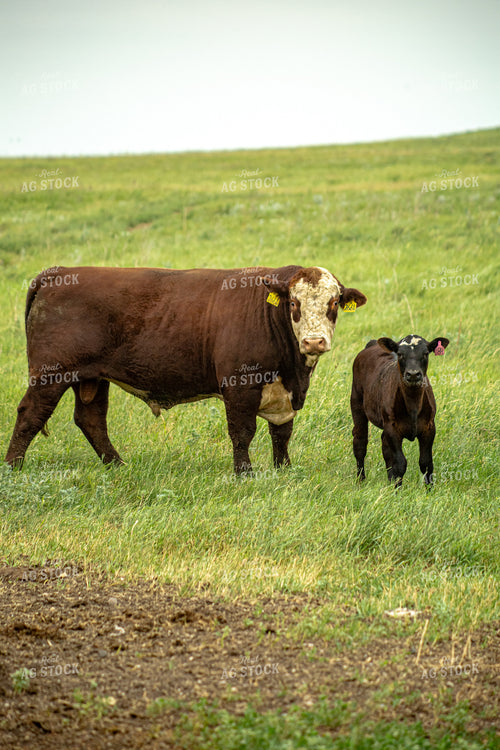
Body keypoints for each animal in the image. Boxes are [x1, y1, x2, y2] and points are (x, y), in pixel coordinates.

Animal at [6, 265, 367, 474]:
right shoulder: (240, 384)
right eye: (294, 303)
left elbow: (282, 433)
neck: (294, 370)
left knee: (91, 420)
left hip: (91, 377)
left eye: (334, 303)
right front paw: (245, 473)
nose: (314, 341)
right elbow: (242, 432)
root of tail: (57, 271)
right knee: (30, 414)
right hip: (51, 373)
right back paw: (13, 468)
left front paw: (284, 470)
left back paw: (118, 466)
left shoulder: (284, 392)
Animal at [350, 335, 450, 487]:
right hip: (357, 402)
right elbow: (400, 463)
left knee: (385, 446)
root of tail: (372, 344)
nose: (413, 374)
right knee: (360, 442)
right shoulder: (392, 428)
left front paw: (430, 490)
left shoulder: (429, 427)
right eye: (401, 354)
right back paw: (361, 480)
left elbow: (426, 463)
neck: (413, 404)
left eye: (426, 353)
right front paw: (398, 490)